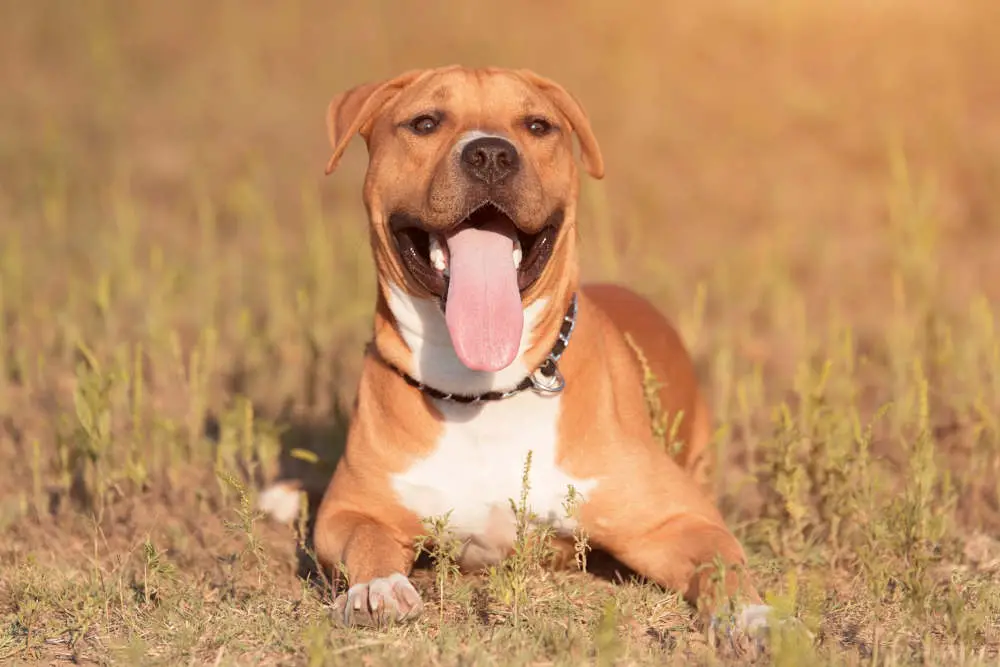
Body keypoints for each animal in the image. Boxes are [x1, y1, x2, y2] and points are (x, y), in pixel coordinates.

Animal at [260, 65, 772, 636]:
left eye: (537, 125)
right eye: (425, 122)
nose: (490, 154)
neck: (482, 390)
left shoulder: (677, 520)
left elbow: (723, 563)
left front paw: (753, 618)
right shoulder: (353, 509)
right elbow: (366, 538)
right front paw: (379, 588)